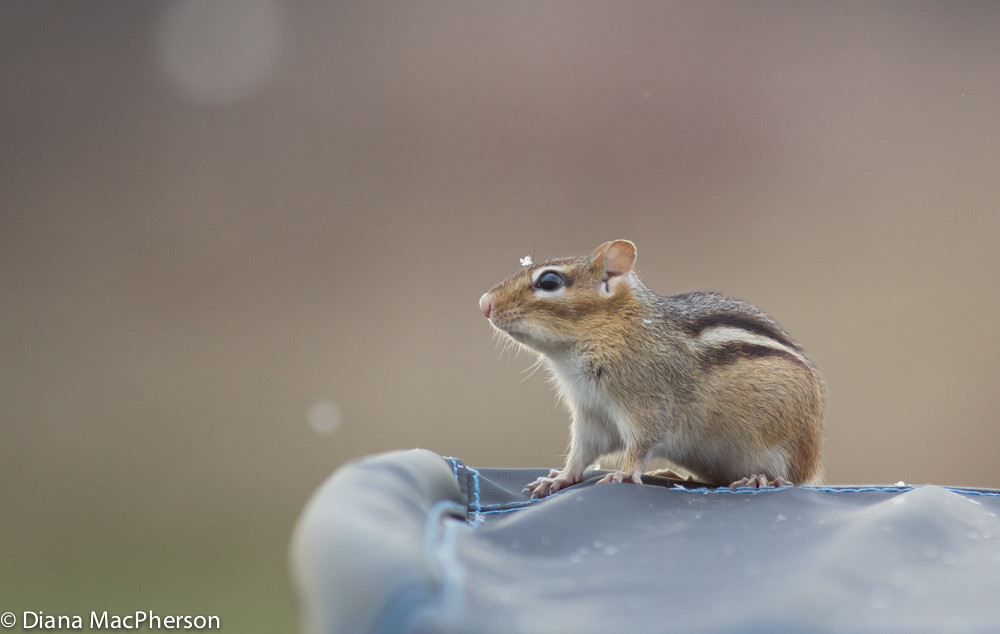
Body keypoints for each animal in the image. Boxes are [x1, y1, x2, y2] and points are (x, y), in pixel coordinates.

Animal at [478, 239, 825, 498]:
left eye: (549, 281)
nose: (484, 304)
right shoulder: (593, 414)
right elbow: (583, 451)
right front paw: (560, 478)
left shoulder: (648, 404)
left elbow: (641, 443)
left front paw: (624, 474)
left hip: (784, 447)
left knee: (791, 479)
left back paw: (760, 479)